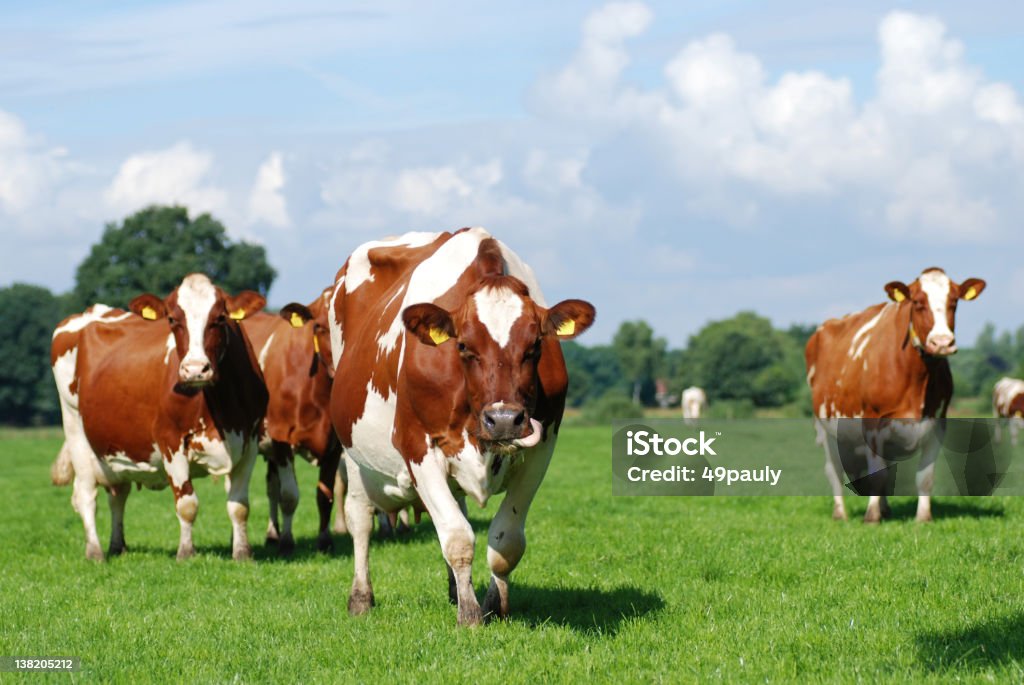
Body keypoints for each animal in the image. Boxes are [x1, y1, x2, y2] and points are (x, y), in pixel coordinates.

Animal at [50, 272, 268, 561]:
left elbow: (239, 505)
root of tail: (89, 312)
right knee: (86, 496)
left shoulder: (249, 440)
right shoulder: (170, 440)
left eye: (220, 318)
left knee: (118, 493)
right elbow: (187, 504)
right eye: (173, 319)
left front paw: (243, 553)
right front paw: (186, 553)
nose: (195, 369)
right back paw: (95, 552)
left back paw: (117, 546)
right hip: (75, 428)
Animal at [238, 288, 339, 557]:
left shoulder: (335, 446)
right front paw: (287, 542)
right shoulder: (281, 437)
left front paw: (325, 541)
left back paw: (271, 534)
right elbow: (289, 495)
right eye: (319, 326)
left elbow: (325, 496)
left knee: (270, 487)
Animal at [327, 228, 598, 626]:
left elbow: (505, 541)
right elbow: (457, 538)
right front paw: (470, 616)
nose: (504, 420)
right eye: (465, 346)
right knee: (360, 517)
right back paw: (361, 597)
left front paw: (493, 604)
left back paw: (455, 589)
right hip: (353, 453)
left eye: (535, 345)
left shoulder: (541, 451)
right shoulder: (418, 447)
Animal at [806, 268, 983, 524]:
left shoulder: (937, 423)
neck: (917, 378)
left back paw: (885, 508)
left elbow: (924, 477)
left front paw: (923, 517)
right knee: (834, 471)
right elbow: (876, 476)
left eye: (954, 302)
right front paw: (871, 517)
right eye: (917, 302)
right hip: (825, 428)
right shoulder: (872, 422)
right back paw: (841, 513)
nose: (942, 342)